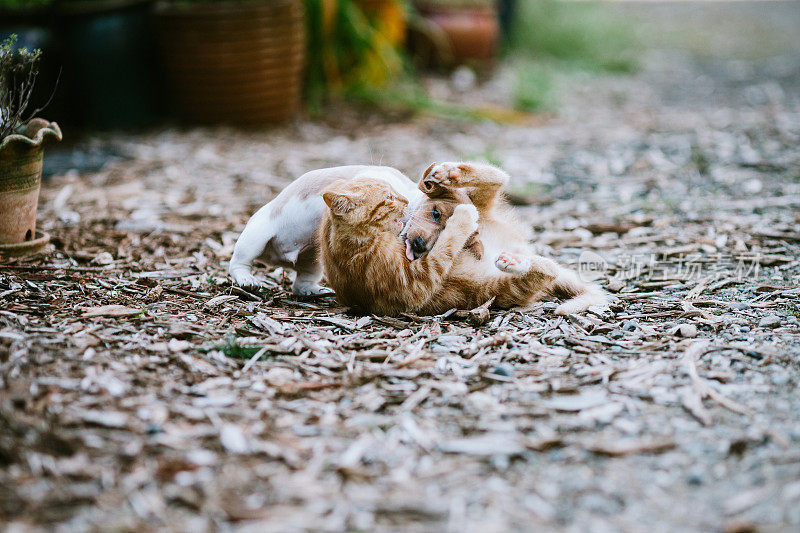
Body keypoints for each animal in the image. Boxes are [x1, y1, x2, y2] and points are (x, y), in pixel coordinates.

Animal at [228, 164, 424, 294]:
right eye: (389, 197)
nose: (405, 201)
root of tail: (276, 259)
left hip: (313, 262)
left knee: (300, 284)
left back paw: (315, 292)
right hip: (254, 238)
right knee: (238, 263)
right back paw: (247, 280)